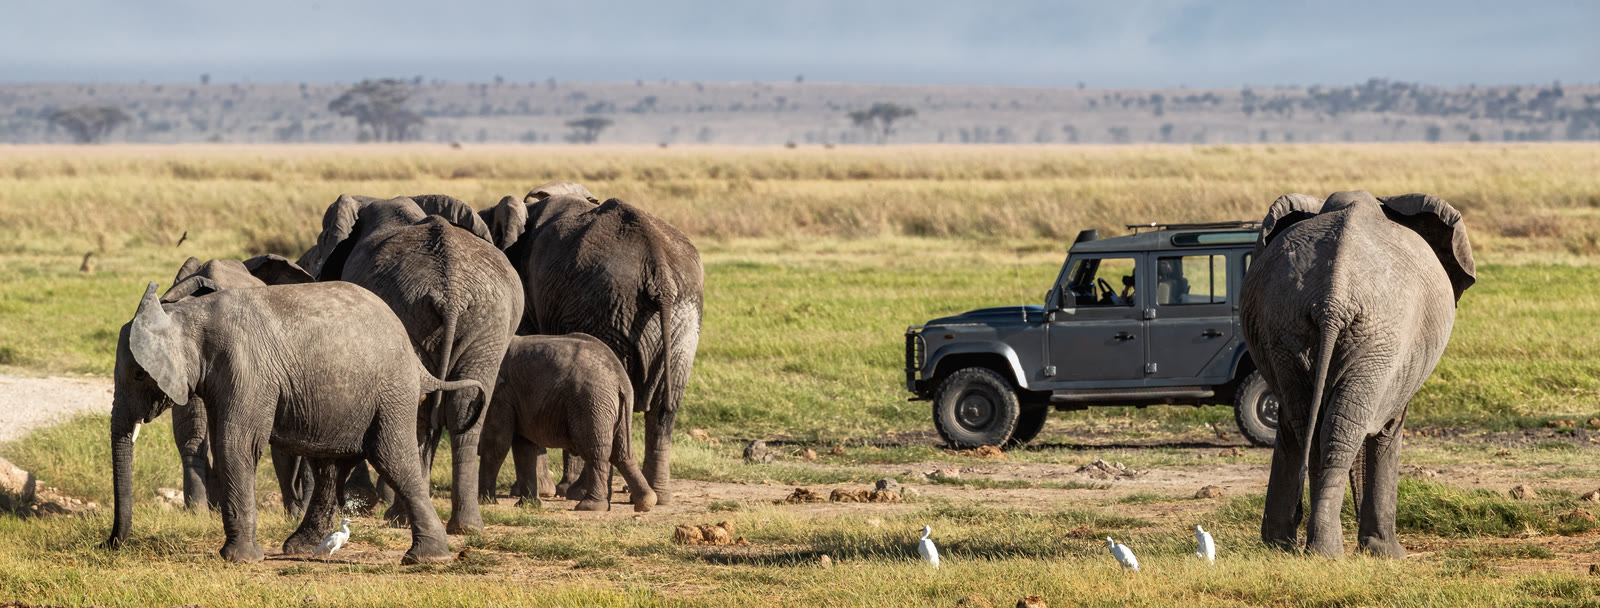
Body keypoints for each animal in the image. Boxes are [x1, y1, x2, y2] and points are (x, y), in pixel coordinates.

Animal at [104, 281, 476, 564]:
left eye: (139, 375)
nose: (109, 544)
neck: (186, 314)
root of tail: (416, 362)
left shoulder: (246, 369)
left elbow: (236, 444)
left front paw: (239, 560)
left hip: (391, 393)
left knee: (393, 459)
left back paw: (426, 558)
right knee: (328, 466)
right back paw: (300, 547)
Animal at [297, 193, 523, 534]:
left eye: (323, 236)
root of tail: (453, 293)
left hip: (416, 314)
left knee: (420, 411)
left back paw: (403, 519)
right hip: (489, 322)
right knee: (462, 410)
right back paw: (466, 527)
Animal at [477, 334, 656, 512]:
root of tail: (621, 379)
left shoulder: (501, 393)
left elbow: (497, 443)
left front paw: (486, 502)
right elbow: (524, 447)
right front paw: (528, 505)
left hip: (591, 403)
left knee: (595, 453)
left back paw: (589, 506)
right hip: (612, 407)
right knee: (622, 453)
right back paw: (646, 502)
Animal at [1240, 190, 1475, 559]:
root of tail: (1332, 300)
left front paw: (1279, 546)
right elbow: (1387, 431)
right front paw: (1389, 555)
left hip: (1288, 326)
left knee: (1311, 426)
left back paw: (1316, 550)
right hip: (1381, 338)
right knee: (1336, 427)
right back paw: (1329, 551)